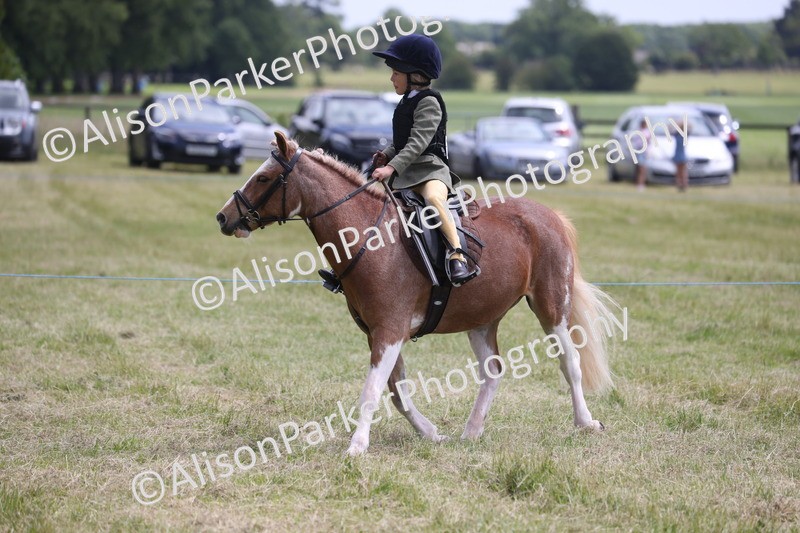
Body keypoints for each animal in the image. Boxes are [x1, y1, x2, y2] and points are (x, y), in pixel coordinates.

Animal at [216, 131, 616, 456]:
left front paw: (356, 446)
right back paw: (471, 431)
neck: (369, 237)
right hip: (482, 318)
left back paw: (585, 422)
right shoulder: (379, 333)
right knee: (492, 372)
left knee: (570, 362)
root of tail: (549, 216)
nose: (223, 217)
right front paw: (431, 433)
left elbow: (373, 391)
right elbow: (397, 392)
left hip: (551, 305)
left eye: (264, 177)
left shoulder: (390, 331)